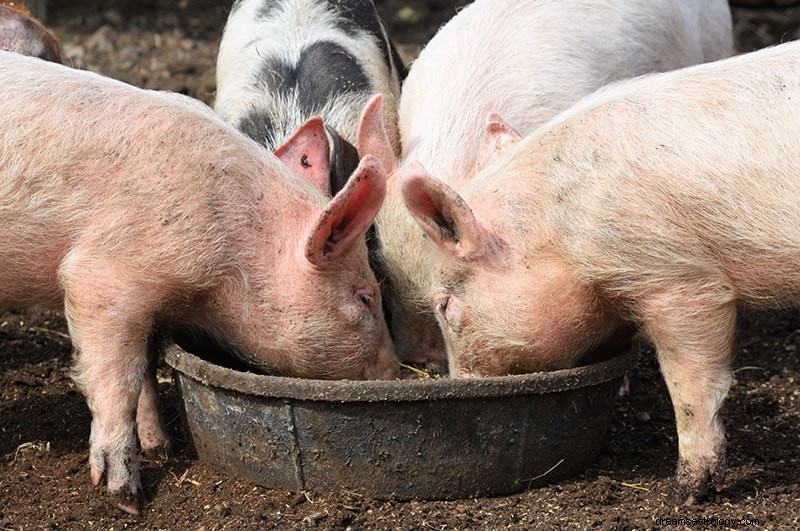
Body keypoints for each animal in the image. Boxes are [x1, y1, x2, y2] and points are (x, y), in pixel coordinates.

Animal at [0, 50, 396, 516]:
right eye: (366, 297)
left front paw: (162, 447)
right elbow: (119, 375)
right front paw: (128, 499)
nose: (395, 373)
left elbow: (146, 367)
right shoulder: (104, 275)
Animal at [400, 41, 800, 508]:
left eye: (445, 304)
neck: (559, 231)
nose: (459, 382)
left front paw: (683, 494)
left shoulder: (676, 277)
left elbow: (690, 383)